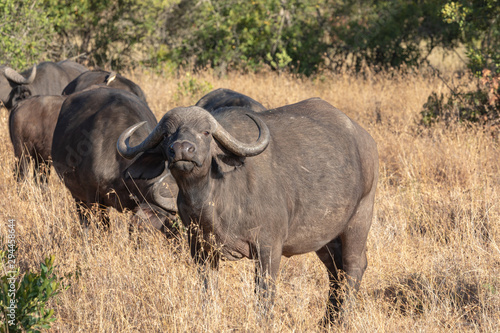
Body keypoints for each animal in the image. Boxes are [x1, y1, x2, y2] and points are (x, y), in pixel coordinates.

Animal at [118, 97, 378, 320]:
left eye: (206, 132)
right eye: (166, 134)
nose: (182, 149)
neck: (214, 199)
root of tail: (364, 139)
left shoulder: (268, 249)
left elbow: (264, 296)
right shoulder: (201, 250)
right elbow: (207, 292)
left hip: (360, 219)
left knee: (353, 266)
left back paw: (342, 318)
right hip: (324, 237)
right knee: (335, 271)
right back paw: (327, 321)